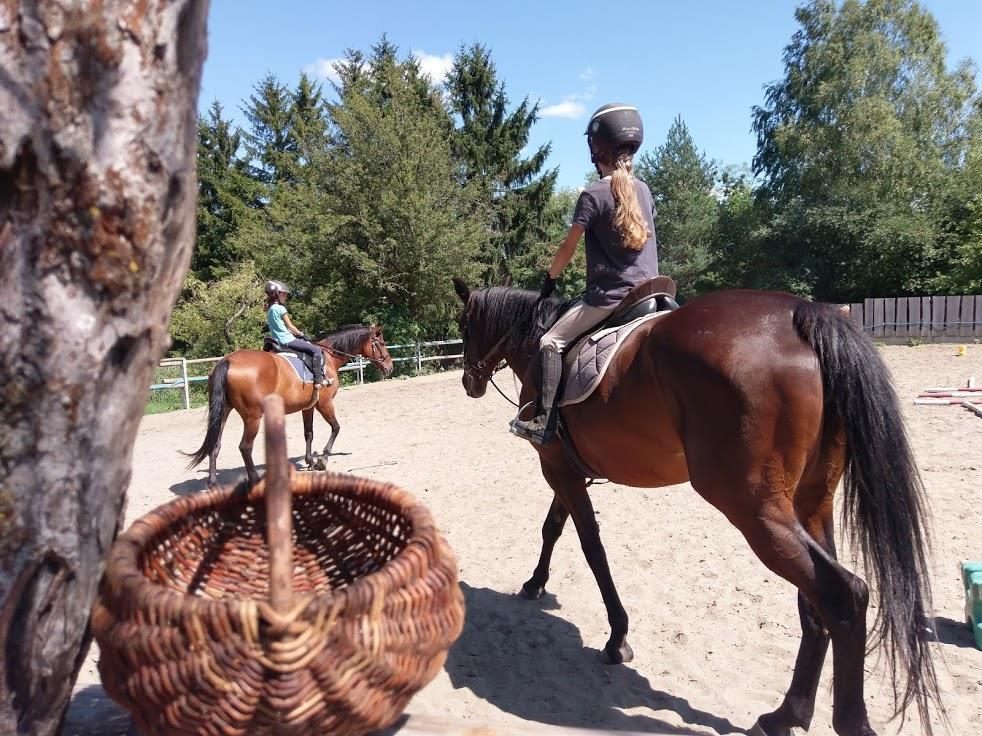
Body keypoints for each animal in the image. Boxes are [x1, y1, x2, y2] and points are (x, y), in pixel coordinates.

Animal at [186, 324, 394, 486]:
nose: (390, 367)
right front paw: (322, 460)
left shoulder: (308, 407)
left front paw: (310, 462)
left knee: (215, 444)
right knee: (245, 447)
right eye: (382, 344)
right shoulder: (324, 404)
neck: (328, 357)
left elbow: (308, 433)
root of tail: (227, 360)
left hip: (224, 412)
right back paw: (255, 480)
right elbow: (336, 428)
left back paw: (212, 482)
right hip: (253, 417)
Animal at [454, 278, 944, 736]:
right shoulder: (565, 468)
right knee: (817, 603)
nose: (469, 382)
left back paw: (838, 719)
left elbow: (591, 547)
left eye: (463, 325)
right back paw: (785, 715)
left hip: (755, 510)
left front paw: (617, 636)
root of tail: (801, 316)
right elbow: (553, 528)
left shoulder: (556, 467)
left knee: (843, 595)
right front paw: (535, 584)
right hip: (811, 505)